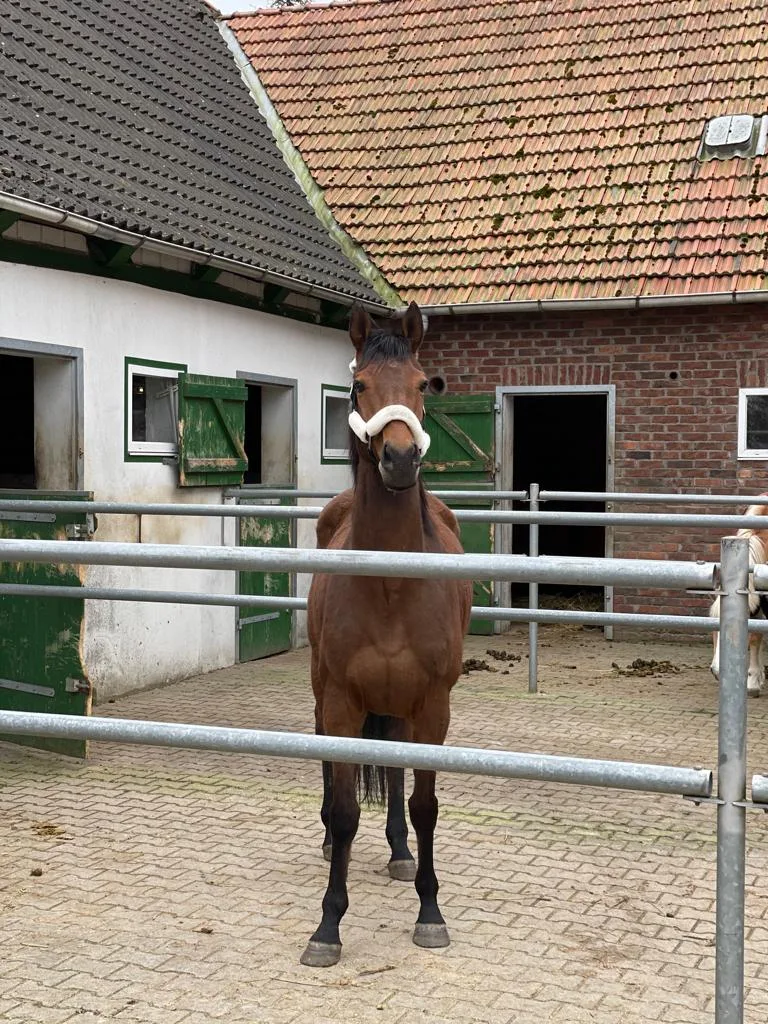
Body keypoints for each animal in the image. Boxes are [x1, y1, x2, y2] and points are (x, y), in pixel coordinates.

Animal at [301, 301, 472, 968]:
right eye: (359, 387)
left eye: (424, 384)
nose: (400, 460)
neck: (392, 585)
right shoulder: (344, 702)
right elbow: (349, 810)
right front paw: (328, 925)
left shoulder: (432, 706)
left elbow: (424, 806)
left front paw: (430, 911)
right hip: (324, 693)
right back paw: (329, 837)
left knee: (397, 769)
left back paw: (400, 853)